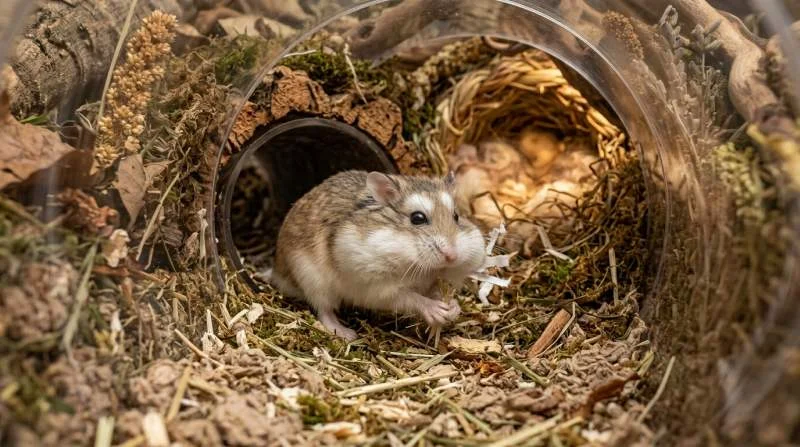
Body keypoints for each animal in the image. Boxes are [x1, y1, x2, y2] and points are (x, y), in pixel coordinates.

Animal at [271, 170, 487, 341]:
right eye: (417, 218)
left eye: (456, 216)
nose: (451, 256)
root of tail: (276, 271)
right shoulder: (376, 288)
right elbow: (410, 297)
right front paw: (437, 311)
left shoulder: (430, 281)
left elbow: (434, 292)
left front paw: (453, 308)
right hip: (313, 280)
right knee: (324, 310)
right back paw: (346, 334)